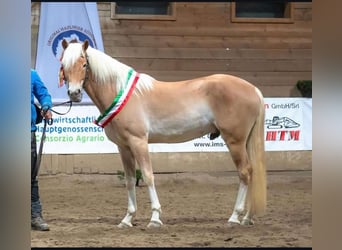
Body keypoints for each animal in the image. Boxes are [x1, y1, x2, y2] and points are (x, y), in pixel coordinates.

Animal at [60, 38, 266, 229]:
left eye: (84, 64)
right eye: (63, 65)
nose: (74, 93)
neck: (120, 93)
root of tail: (253, 89)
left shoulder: (138, 142)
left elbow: (147, 175)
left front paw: (155, 218)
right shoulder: (124, 147)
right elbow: (129, 180)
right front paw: (127, 219)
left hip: (235, 141)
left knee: (244, 172)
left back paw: (234, 217)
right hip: (244, 141)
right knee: (252, 172)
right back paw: (247, 217)